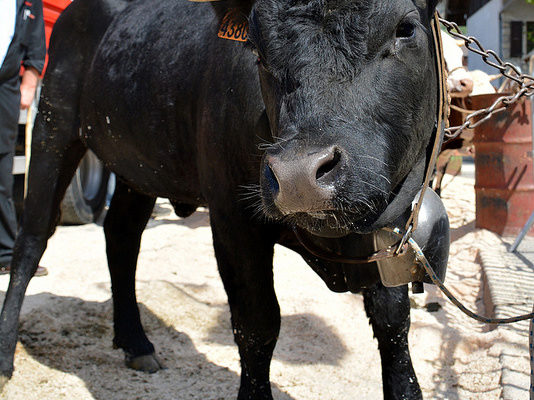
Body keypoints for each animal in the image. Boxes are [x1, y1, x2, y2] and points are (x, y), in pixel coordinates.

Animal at [0, 0, 442, 398]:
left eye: (405, 28)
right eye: (256, 49)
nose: (299, 176)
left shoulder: (393, 222)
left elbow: (392, 319)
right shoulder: (233, 220)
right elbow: (257, 323)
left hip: (136, 163)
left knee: (122, 237)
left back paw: (136, 342)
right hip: (53, 127)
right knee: (33, 239)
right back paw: (6, 355)